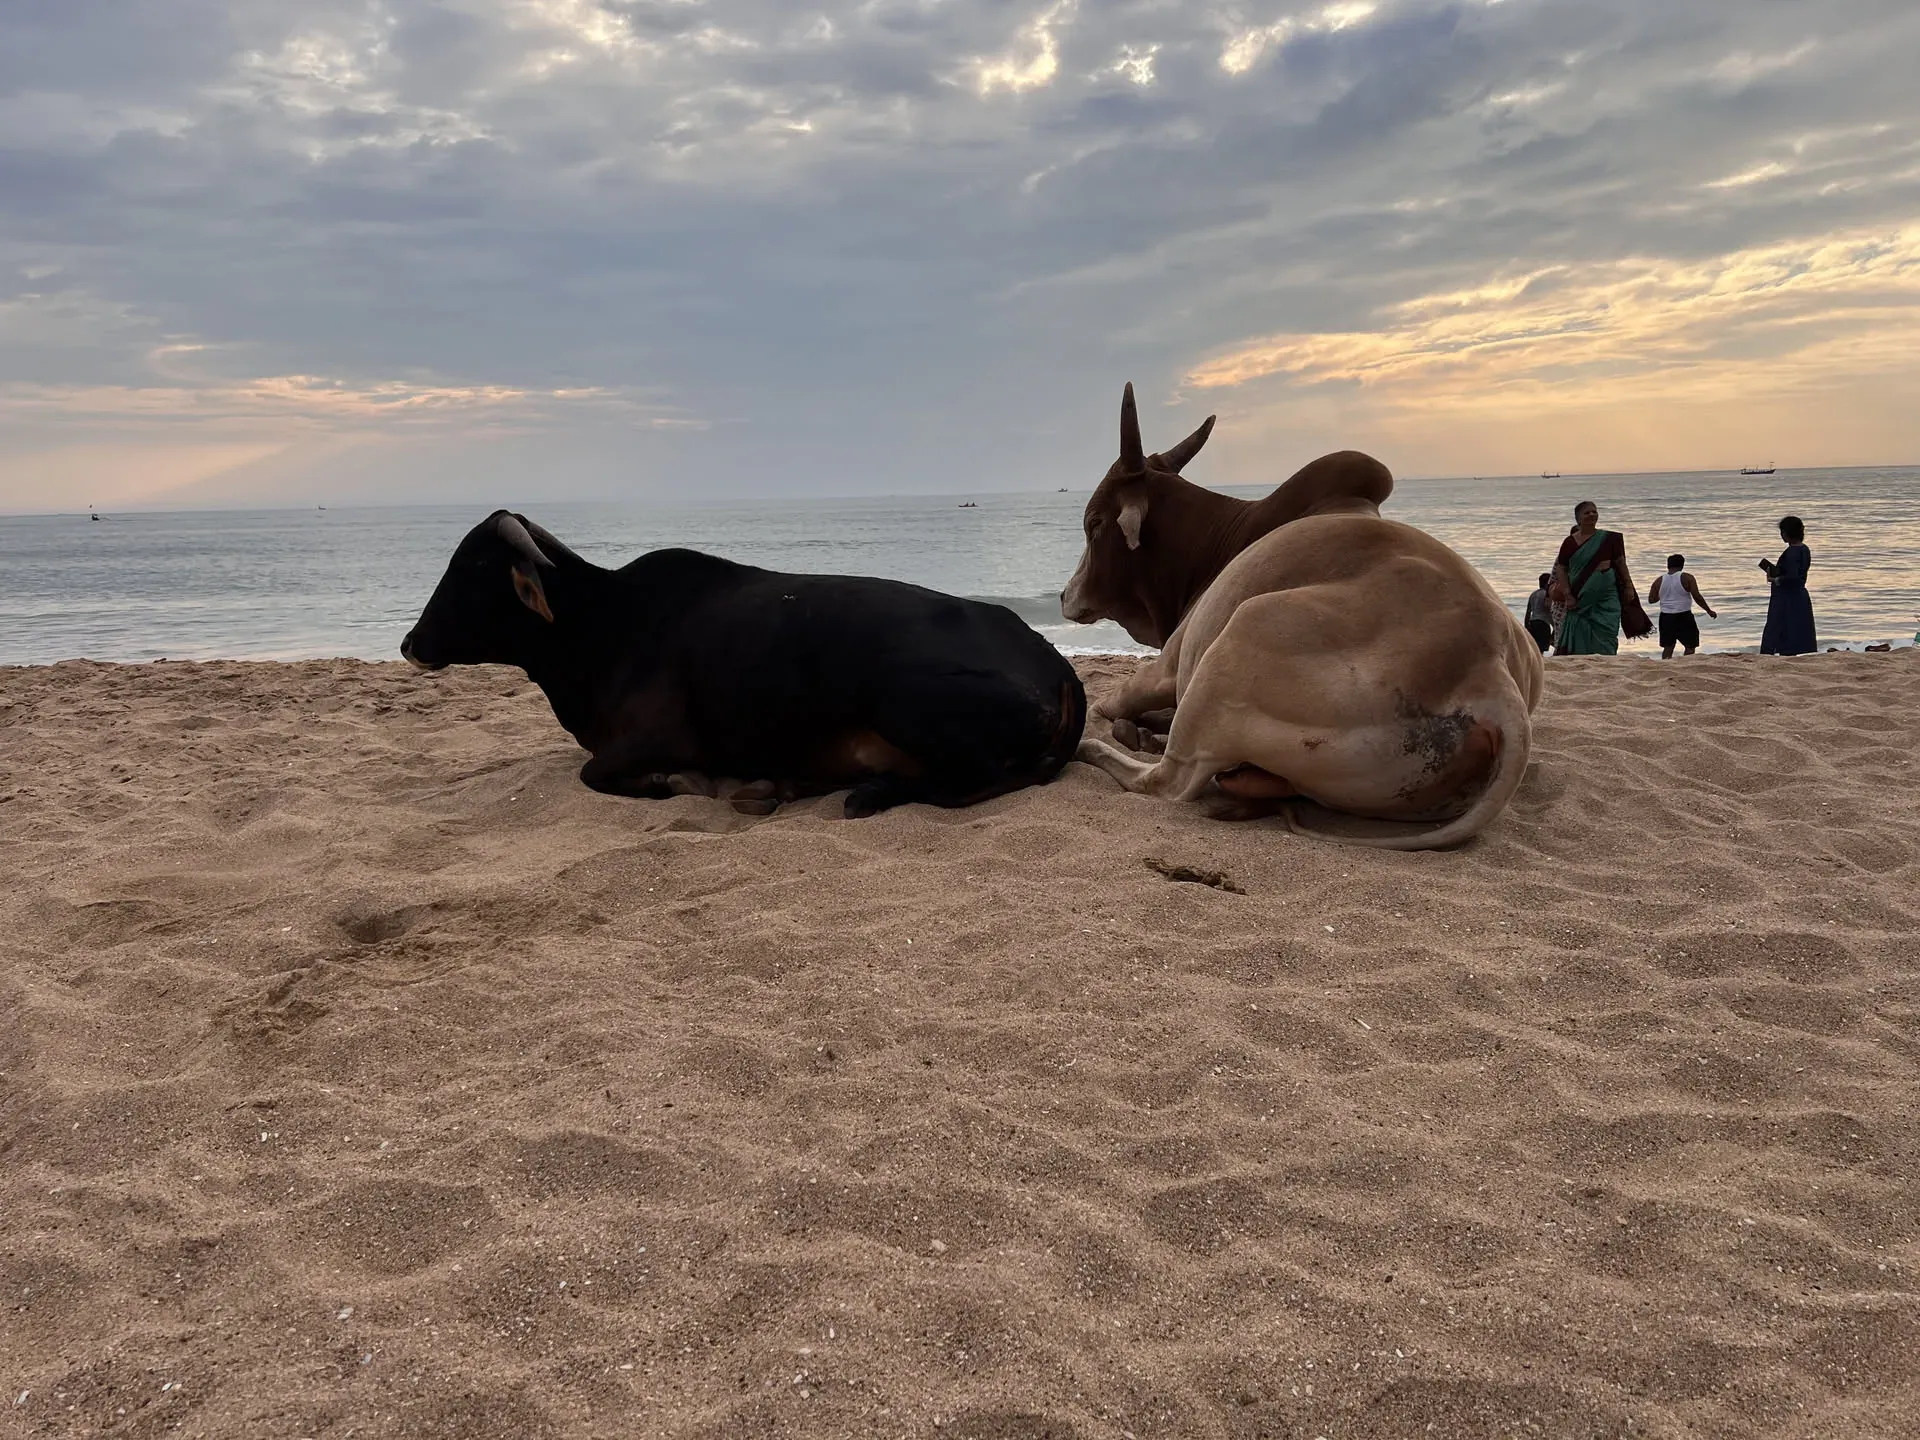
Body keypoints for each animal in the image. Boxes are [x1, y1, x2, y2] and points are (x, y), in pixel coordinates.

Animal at [402, 511, 1086, 818]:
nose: (409, 643)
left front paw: (680, 783)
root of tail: (1052, 661)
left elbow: (595, 774)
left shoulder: (657, 736)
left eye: (474, 568)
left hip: (898, 695)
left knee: (965, 781)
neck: (605, 627)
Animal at [1060, 384, 1543, 849]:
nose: (1064, 594)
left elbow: (1110, 702)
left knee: (1168, 780)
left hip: (1245, 627)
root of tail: (1490, 674)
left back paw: (1092, 747)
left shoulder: (1171, 662)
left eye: (1094, 524)